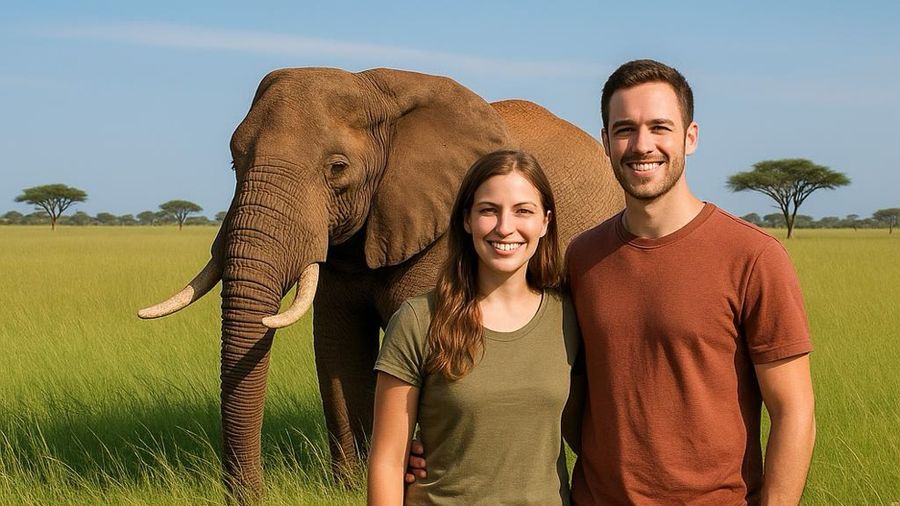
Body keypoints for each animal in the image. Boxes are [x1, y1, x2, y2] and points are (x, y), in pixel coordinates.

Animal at [139, 67, 624, 500]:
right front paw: (351, 487)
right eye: (234, 161)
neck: (372, 89)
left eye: (337, 168)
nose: (250, 496)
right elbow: (337, 346)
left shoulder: (440, 232)